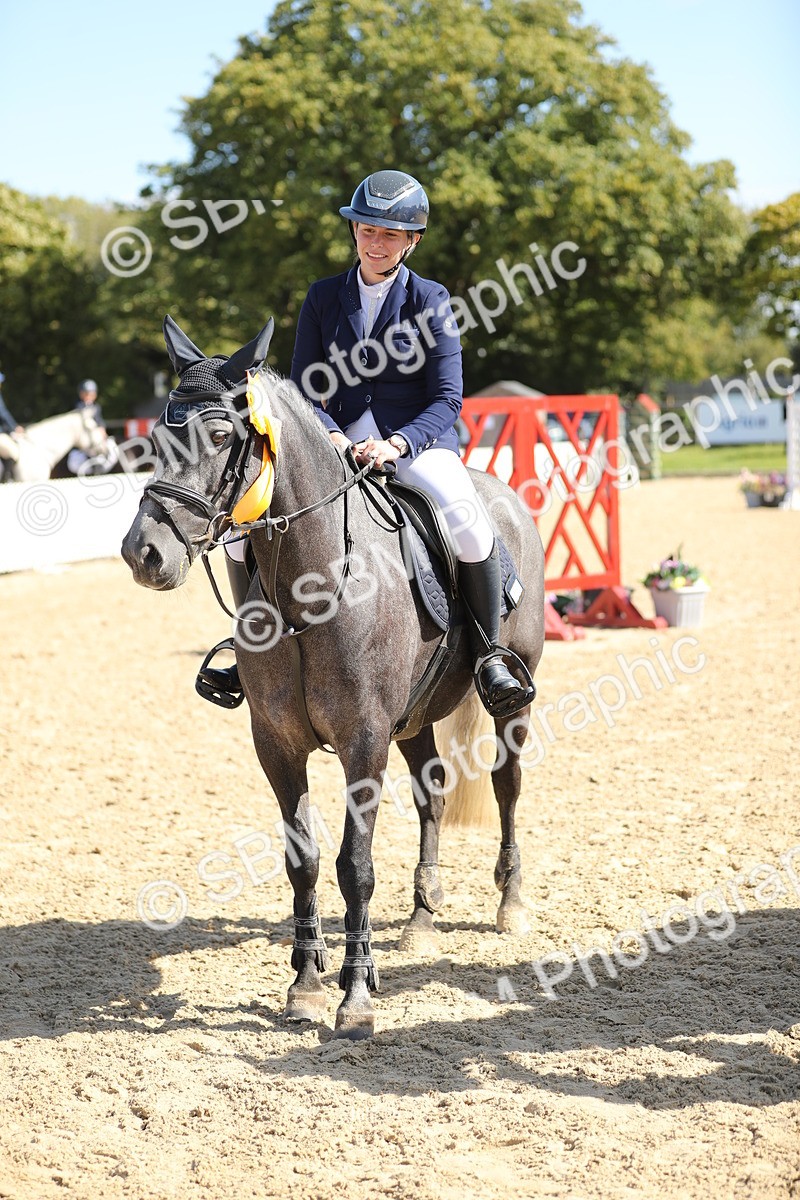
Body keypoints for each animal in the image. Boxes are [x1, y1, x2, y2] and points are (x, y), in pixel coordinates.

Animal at [121, 316, 545, 1039]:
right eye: (153, 438)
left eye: (219, 437)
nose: (142, 554)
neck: (310, 590)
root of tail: (506, 495)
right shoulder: (278, 744)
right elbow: (306, 859)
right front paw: (307, 984)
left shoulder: (362, 742)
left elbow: (355, 865)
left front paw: (355, 996)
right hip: (413, 719)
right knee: (431, 794)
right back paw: (422, 917)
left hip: (507, 703)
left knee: (507, 787)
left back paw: (509, 904)